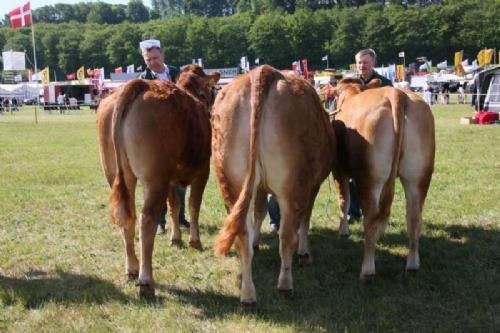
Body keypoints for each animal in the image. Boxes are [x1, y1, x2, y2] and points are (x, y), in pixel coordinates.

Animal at [98, 64, 220, 296]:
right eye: (208, 91)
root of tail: (140, 84)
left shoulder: (171, 179)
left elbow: (174, 206)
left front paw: (176, 238)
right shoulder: (203, 171)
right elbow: (193, 205)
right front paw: (195, 241)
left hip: (118, 174)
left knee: (128, 216)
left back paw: (132, 268)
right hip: (155, 178)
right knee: (147, 220)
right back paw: (146, 281)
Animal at [212, 63, 336, 304]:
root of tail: (263, 71)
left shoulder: (259, 187)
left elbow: (259, 212)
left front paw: (257, 242)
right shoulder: (312, 186)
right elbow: (305, 219)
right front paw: (305, 253)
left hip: (231, 183)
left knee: (241, 235)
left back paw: (247, 294)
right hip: (292, 185)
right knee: (286, 236)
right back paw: (285, 284)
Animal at [332, 78, 434, 278]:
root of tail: (396, 94)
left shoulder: (338, 170)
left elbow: (344, 201)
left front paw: (343, 231)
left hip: (370, 178)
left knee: (371, 218)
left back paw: (367, 269)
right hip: (419, 176)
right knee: (414, 217)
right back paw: (412, 264)